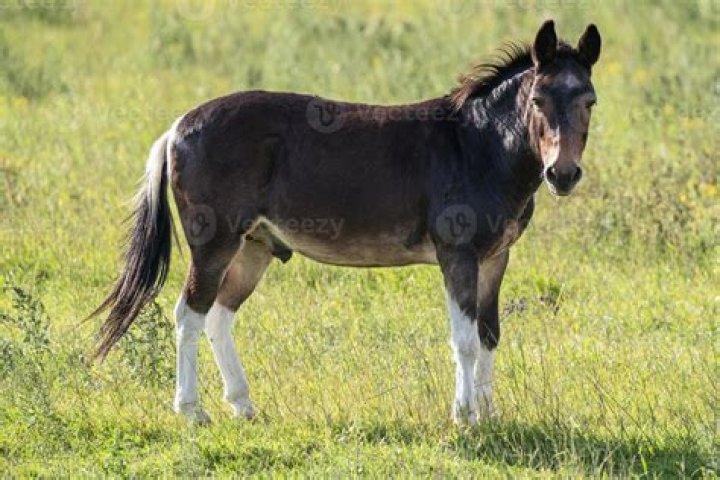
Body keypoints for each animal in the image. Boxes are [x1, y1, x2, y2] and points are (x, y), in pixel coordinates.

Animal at [91, 20, 601, 425]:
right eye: (537, 98)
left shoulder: (496, 257)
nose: (562, 174)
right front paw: (464, 417)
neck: (475, 146)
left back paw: (244, 406)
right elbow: (465, 340)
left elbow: (490, 333)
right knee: (189, 314)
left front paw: (490, 412)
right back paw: (192, 412)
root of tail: (176, 127)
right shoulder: (456, 255)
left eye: (590, 101)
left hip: (255, 245)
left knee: (218, 314)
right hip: (214, 242)